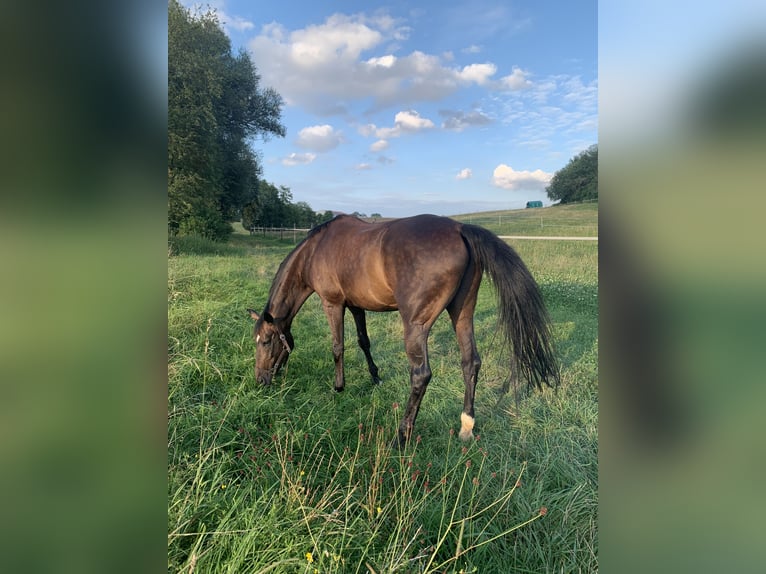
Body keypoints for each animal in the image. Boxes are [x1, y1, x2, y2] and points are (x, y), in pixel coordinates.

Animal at [249, 214, 560, 448]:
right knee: (470, 362)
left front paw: (338, 387)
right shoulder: (357, 306)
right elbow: (363, 341)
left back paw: (401, 435)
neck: (316, 250)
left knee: (421, 375)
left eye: (265, 341)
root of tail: (460, 229)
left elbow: (338, 346)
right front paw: (375, 377)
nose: (261, 381)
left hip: (415, 325)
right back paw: (466, 426)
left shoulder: (333, 304)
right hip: (462, 314)